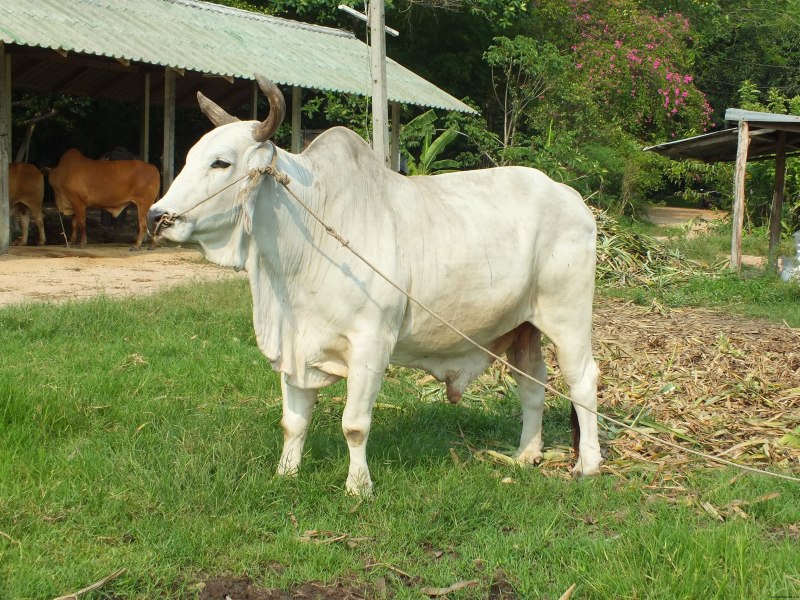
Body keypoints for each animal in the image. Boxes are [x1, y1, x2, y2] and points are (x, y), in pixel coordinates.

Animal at [148, 76, 602, 495]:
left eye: (221, 163)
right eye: (189, 157)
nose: (157, 217)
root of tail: (572, 199)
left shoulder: (371, 343)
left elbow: (354, 424)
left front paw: (358, 487)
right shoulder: (295, 344)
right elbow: (293, 421)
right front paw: (286, 473)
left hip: (567, 316)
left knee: (582, 380)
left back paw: (588, 465)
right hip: (522, 327)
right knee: (533, 383)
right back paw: (526, 454)